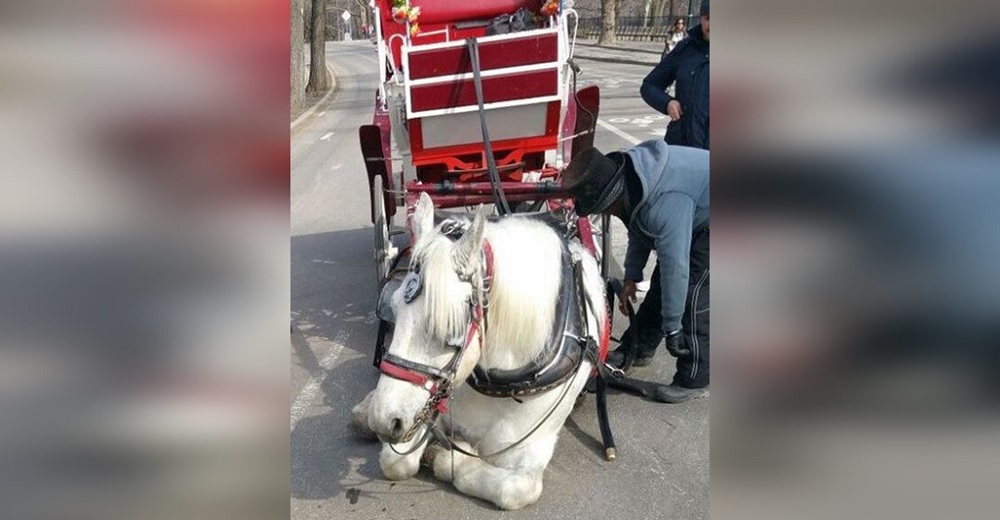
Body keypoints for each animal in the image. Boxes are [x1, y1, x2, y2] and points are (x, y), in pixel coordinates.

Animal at [360, 193, 608, 510]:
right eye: (392, 309)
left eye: (449, 330)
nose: (384, 420)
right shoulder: (433, 407)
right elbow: (395, 463)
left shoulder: (529, 454)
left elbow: (516, 490)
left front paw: (444, 455)